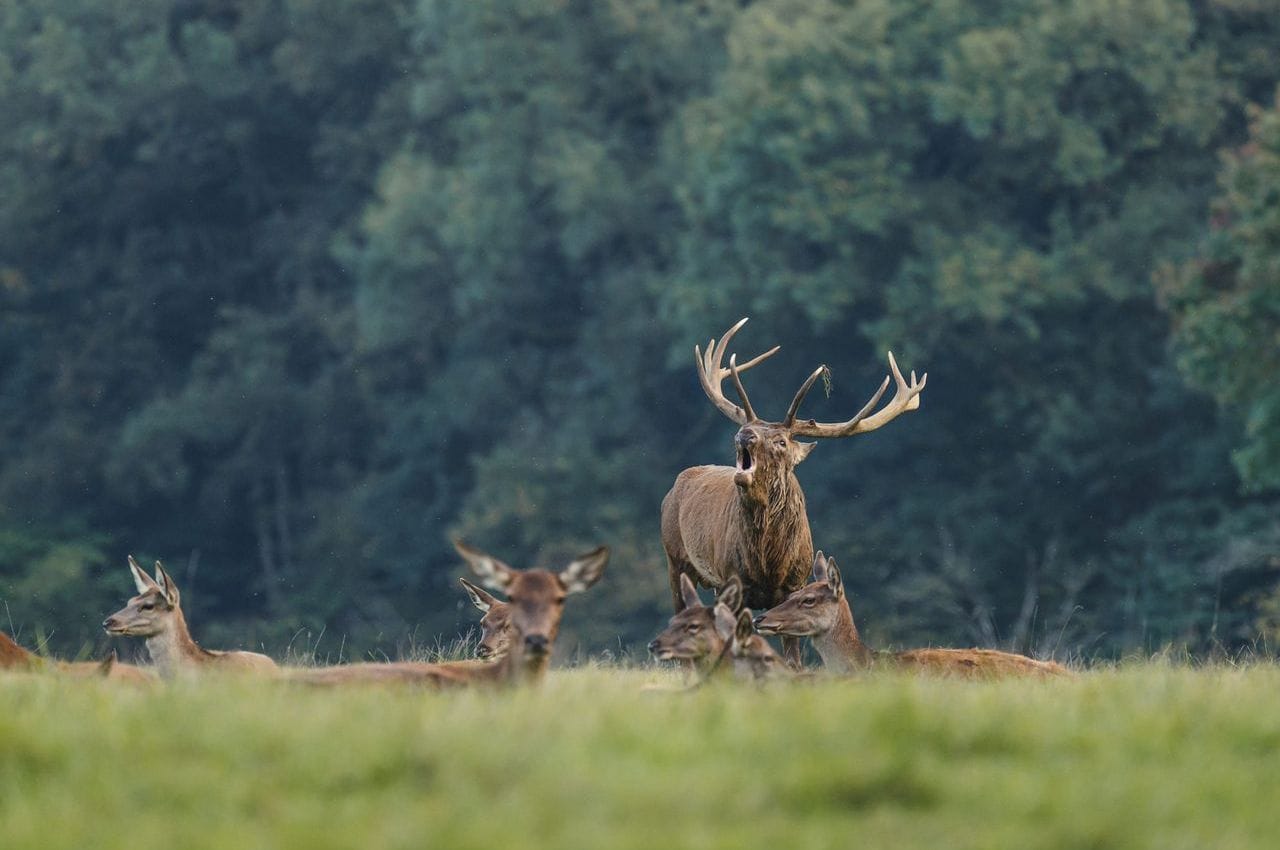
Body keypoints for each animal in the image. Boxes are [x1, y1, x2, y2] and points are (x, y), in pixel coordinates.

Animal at [662, 317, 926, 665]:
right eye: (745, 429)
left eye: (781, 442)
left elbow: (793, 657)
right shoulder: (730, 580)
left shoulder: (794, 583)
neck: (767, 561)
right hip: (675, 558)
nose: (744, 435)